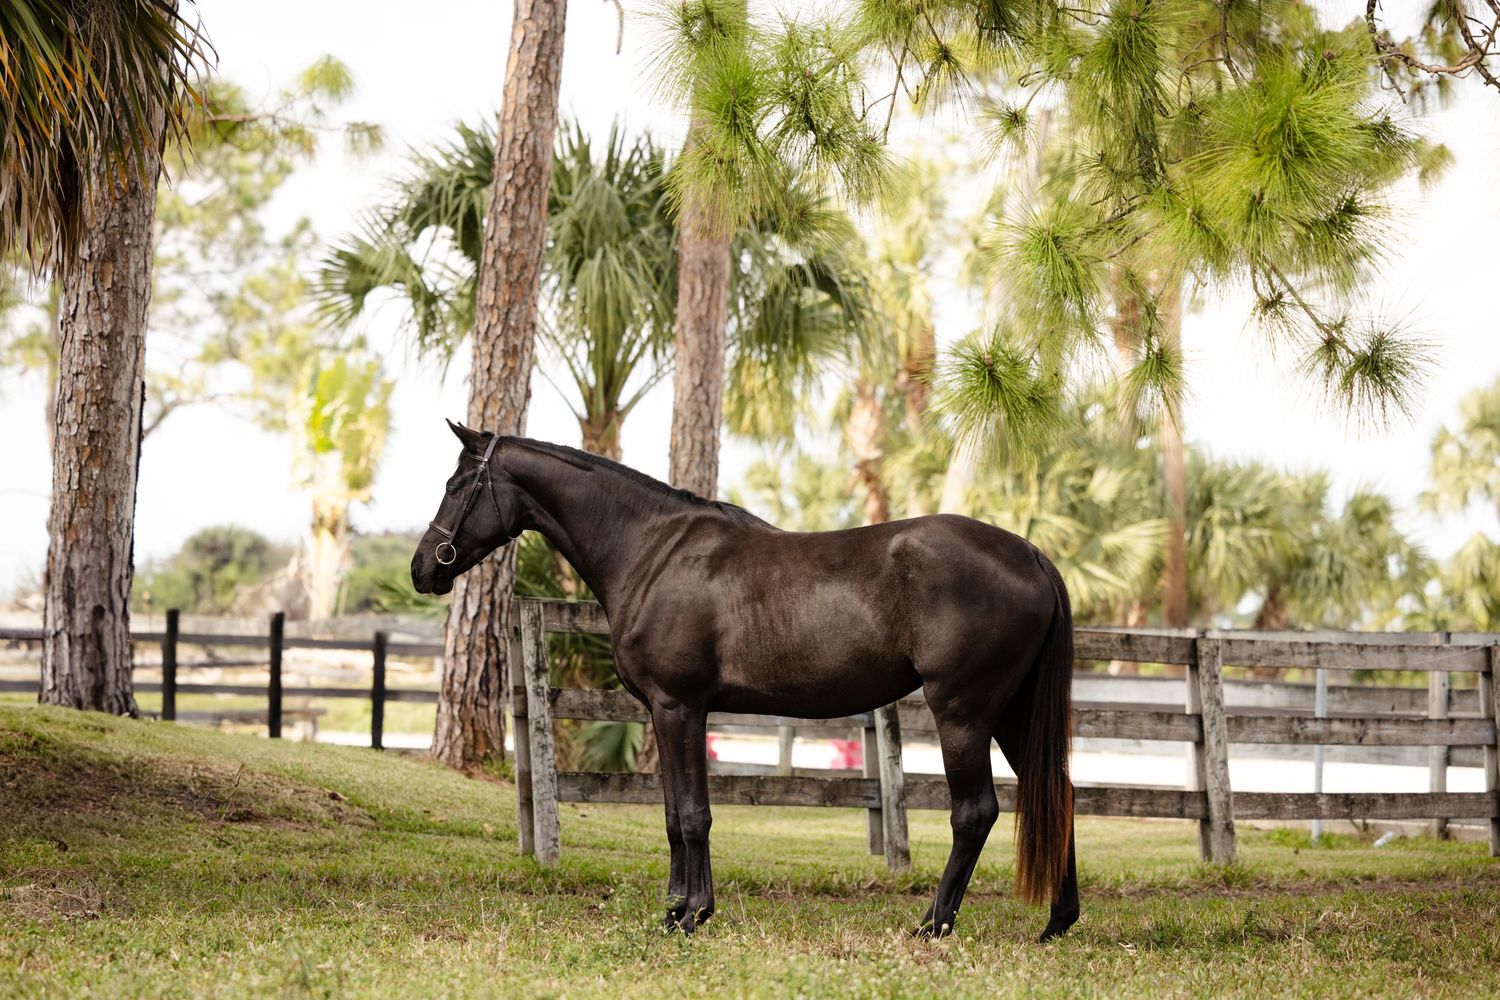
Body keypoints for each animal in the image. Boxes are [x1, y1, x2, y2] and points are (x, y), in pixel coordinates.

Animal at [411, 421, 1079, 942]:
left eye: (455, 486)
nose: (422, 568)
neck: (653, 551)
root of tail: (1030, 554)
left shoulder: (679, 707)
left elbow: (692, 815)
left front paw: (693, 915)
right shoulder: (664, 712)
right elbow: (671, 815)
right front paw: (673, 912)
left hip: (962, 714)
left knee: (975, 812)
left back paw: (933, 924)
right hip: (1011, 715)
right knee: (1058, 794)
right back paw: (1056, 922)